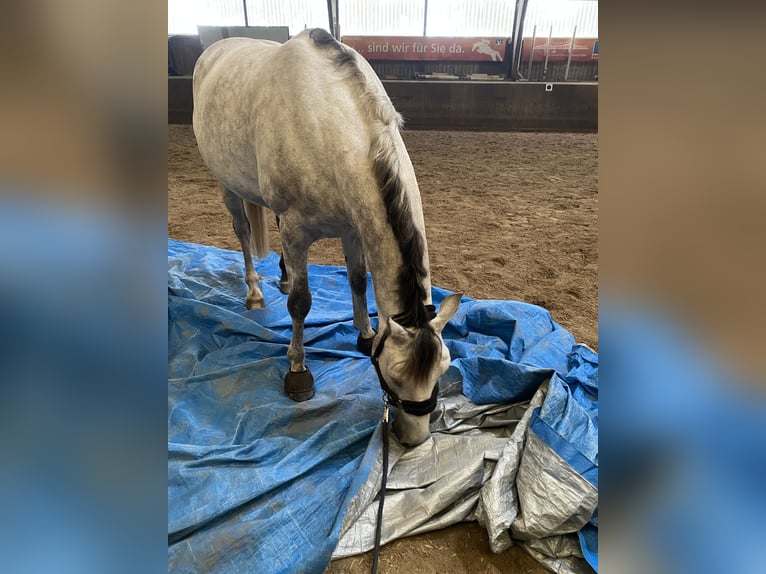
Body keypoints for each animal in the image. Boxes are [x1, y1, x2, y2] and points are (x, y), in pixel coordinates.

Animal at [192, 28, 462, 450]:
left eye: (441, 371)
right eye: (394, 376)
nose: (414, 439)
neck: (327, 124)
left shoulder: (354, 227)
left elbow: (358, 281)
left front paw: (365, 335)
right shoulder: (297, 231)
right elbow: (301, 304)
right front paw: (298, 369)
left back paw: (284, 277)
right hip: (229, 187)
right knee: (243, 233)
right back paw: (254, 292)